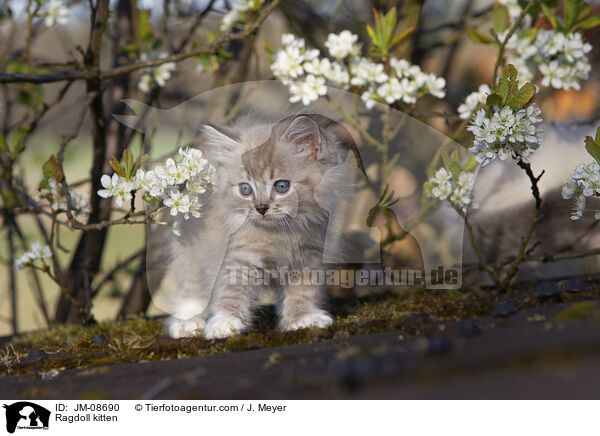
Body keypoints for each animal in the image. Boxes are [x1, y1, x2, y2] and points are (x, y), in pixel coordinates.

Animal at [164, 114, 356, 338]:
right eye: (245, 189)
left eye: (282, 186)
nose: (261, 208)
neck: (279, 233)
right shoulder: (237, 255)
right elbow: (232, 290)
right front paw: (226, 322)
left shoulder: (309, 255)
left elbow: (303, 290)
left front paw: (302, 318)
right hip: (188, 253)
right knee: (190, 287)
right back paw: (187, 322)